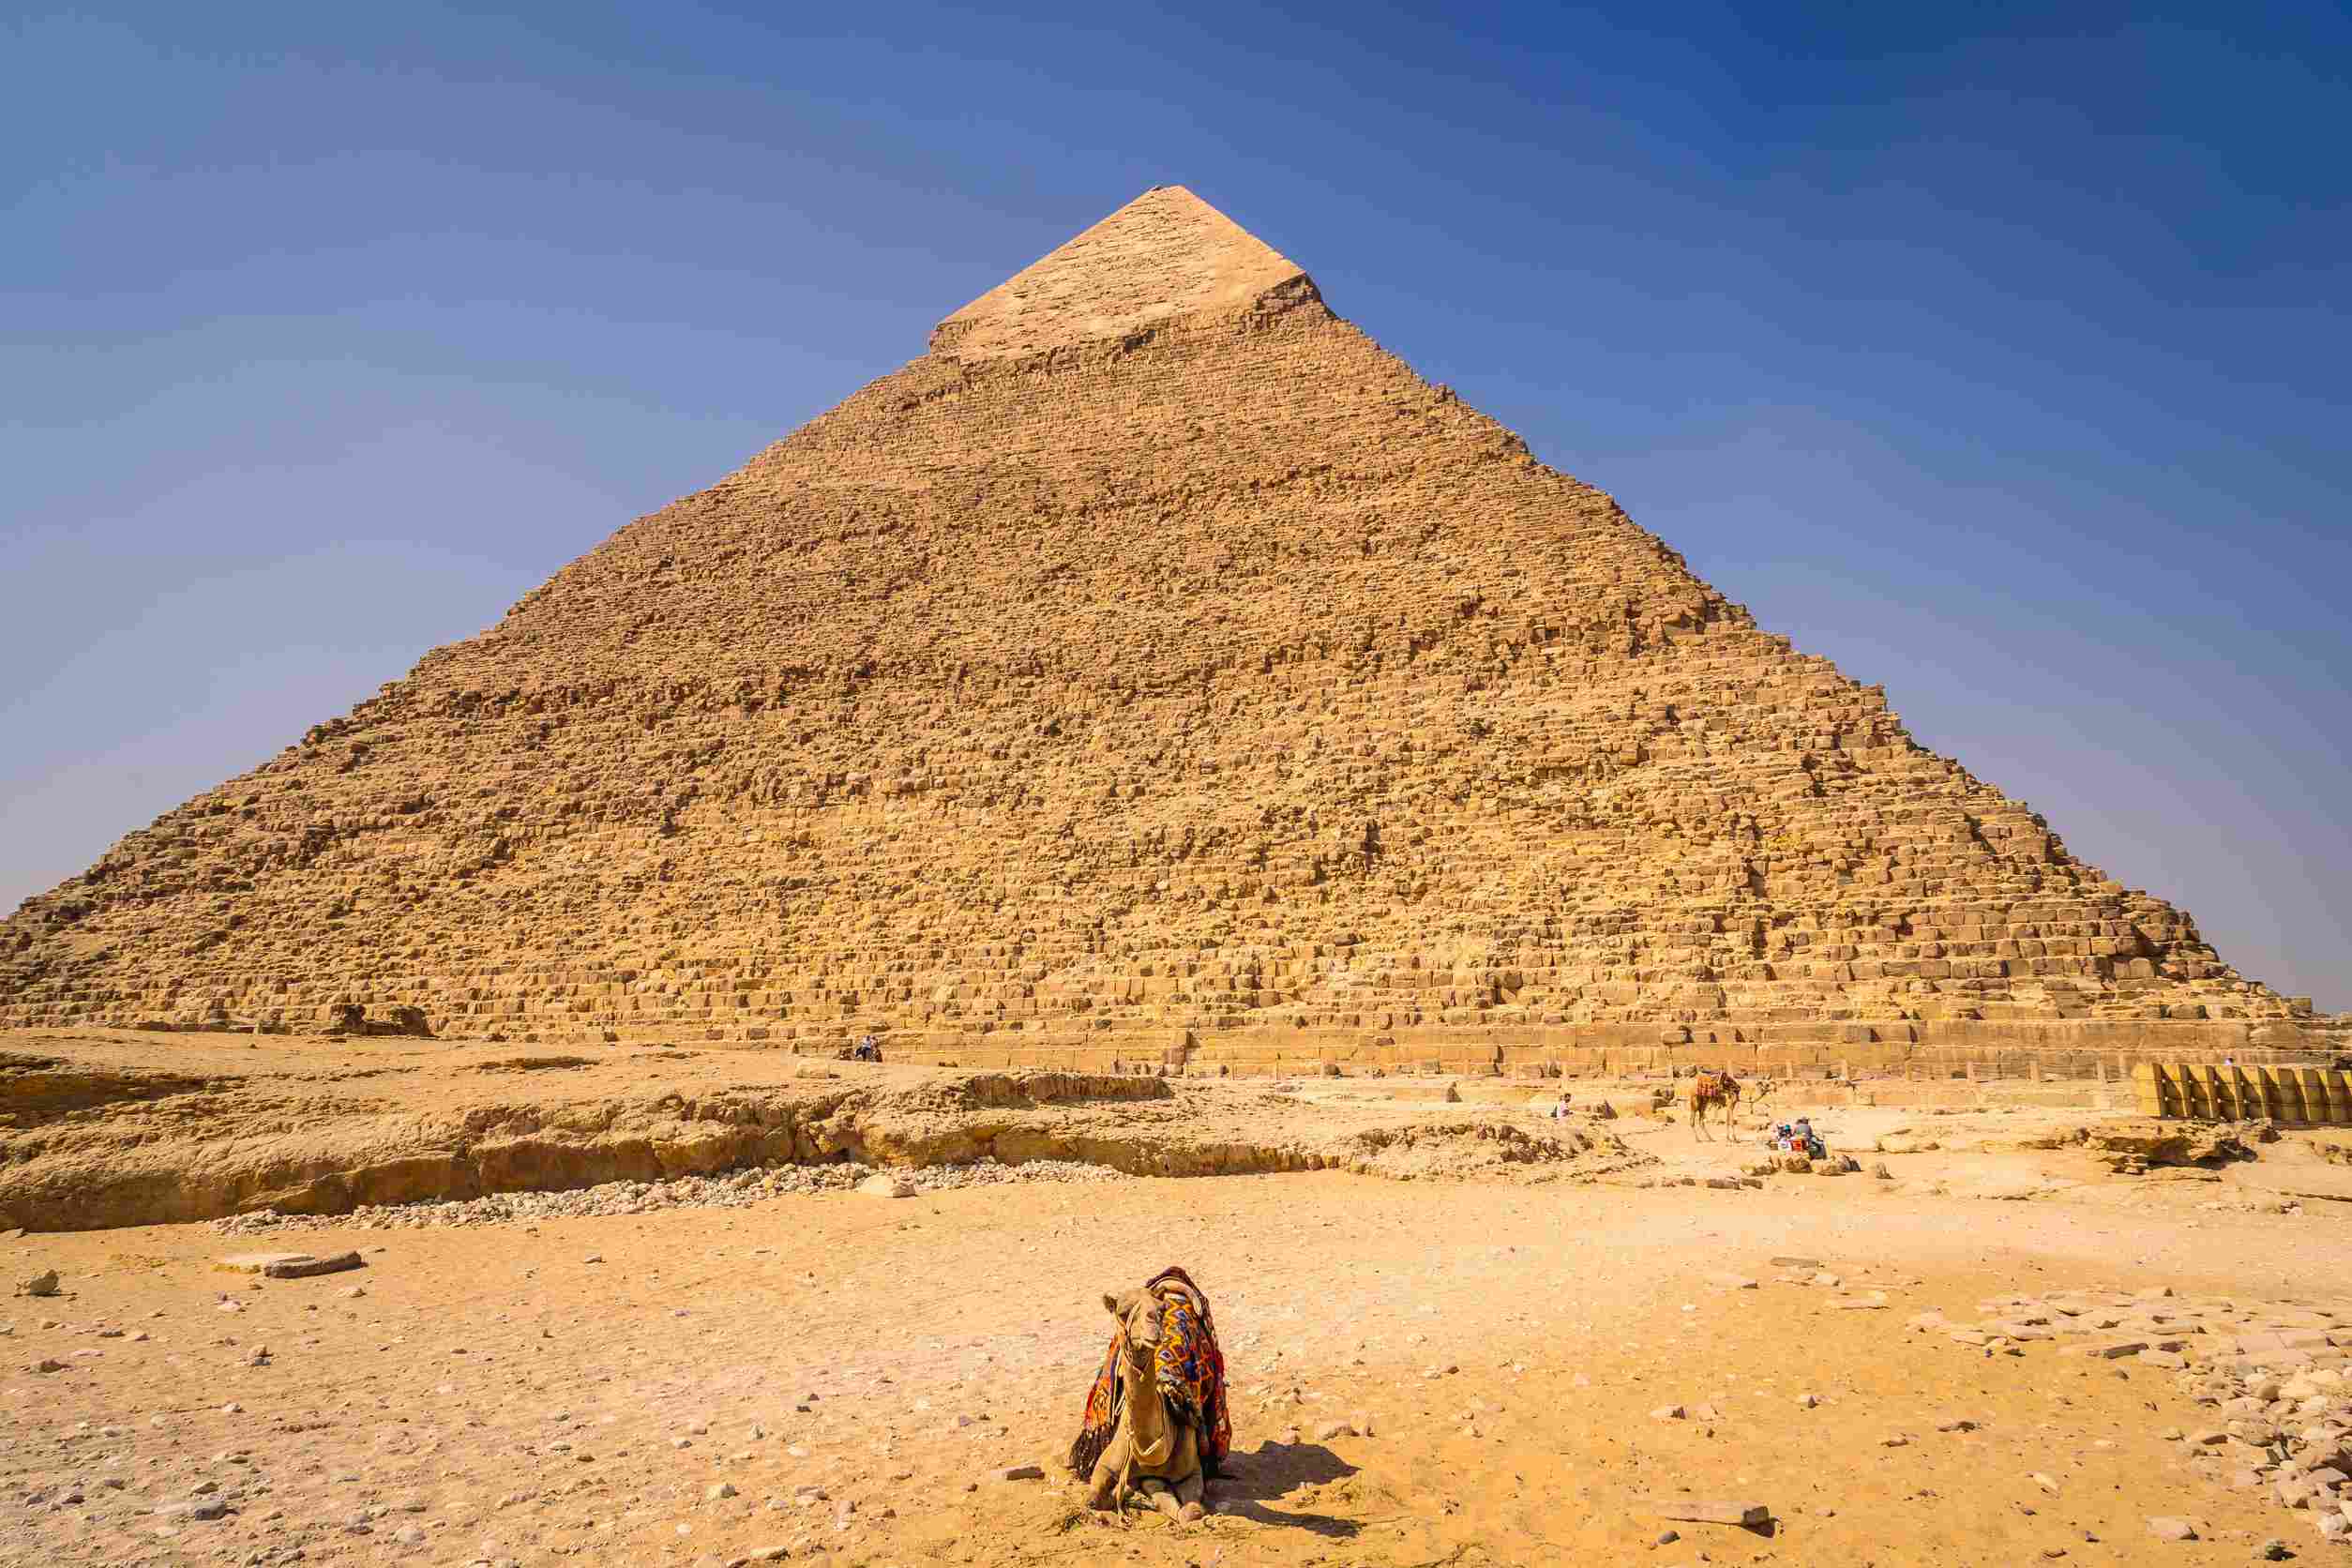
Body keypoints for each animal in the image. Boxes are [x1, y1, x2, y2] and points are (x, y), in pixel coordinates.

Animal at [1081, 1288, 1208, 1524]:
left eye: (1162, 1309)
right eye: (1122, 1313)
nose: (1153, 1326)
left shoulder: (1191, 1471)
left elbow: (1191, 1511)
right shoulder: (1105, 1465)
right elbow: (1093, 1500)